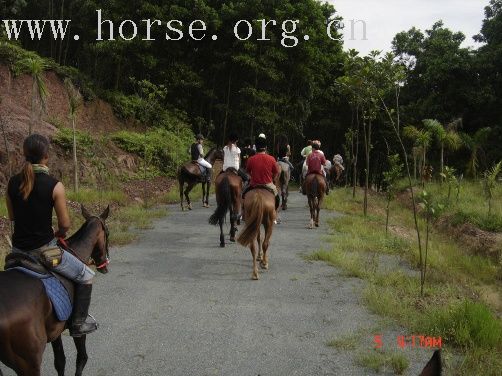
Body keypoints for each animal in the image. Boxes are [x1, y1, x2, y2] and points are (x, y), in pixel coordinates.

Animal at [0, 206, 110, 376]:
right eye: (107, 234)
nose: (104, 265)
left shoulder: (55, 331)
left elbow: (60, 362)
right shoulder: (78, 330)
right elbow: (82, 358)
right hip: (28, 364)